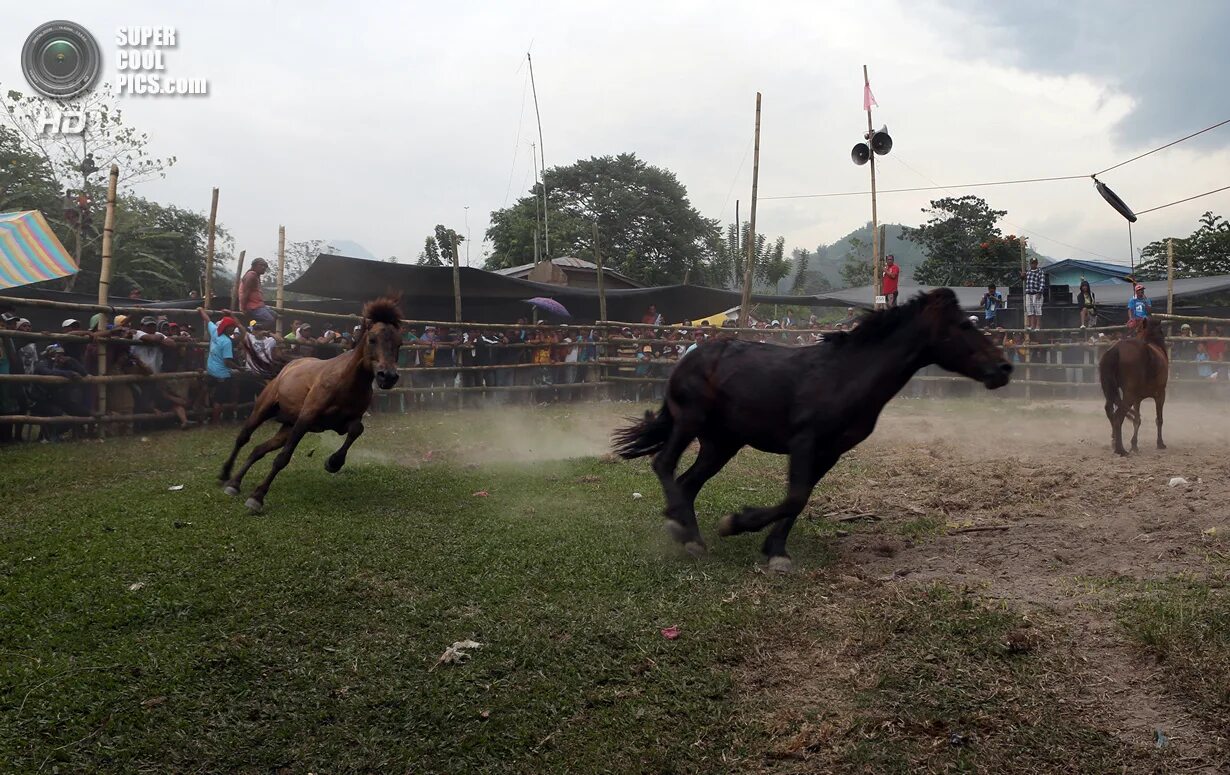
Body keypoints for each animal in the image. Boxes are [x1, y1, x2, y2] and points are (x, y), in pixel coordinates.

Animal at [218, 296, 405, 509]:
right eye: (372, 339)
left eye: (399, 343)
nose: (388, 376)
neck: (347, 382)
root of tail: (287, 366)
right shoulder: (305, 420)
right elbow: (282, 458)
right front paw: (257, 497)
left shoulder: (343, 422)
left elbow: (357, 429)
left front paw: (333, 462)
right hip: (264, 410)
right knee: (243, 438)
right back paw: (225, 475)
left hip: (287, 427)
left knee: (259, 449)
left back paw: (235, 482)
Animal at [610, 289, 1013, 573]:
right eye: (965, 326)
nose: (1005, 368)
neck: (846, 376)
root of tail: (687, 357)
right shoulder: (805, 441)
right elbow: (794, 497)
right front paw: (736, 523)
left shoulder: (830, 451)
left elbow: (800, 499)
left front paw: (775, 551)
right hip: (689, 422)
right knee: (664, 465)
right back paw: (686, 534)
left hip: (722, 443)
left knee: (688, 482)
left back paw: (683, 528)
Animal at [1102, 319, 1166, 457]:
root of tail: (1117, 349)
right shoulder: (1160, 394)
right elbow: (1159, 419)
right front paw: (1160, 443)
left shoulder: (1138, 398)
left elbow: (1137, 420)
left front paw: (1134, 445)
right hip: (1129, 395)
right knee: (1118, 417)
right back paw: (1120, 449)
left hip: (1112, 392)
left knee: (1110, 411)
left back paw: (1114, 442)